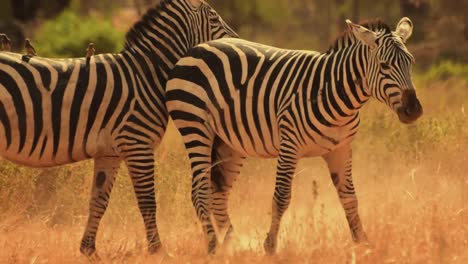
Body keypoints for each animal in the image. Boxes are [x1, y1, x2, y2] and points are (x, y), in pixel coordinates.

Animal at [0, 0, 236, 256]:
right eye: (214, 19)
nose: (237, 41)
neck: (144, 76)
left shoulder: (109, 153)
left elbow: (99, 201)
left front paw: (89, 251)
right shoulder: (137, 145)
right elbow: (147, 202)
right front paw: (158, 251)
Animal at [166, 17, 422, 254]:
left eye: (411, 62)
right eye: (384, 65)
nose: (414, 110)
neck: (332, 92)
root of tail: (197, 48)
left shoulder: (341, 149)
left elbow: (349, 197)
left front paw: (363, 245)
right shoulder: (289, 145)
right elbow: (281, 198)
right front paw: (270, 247)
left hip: (228, 143)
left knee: (218, 194)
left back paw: (232, 246)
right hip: (195, 126)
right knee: (199, 192)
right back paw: (213, 249)